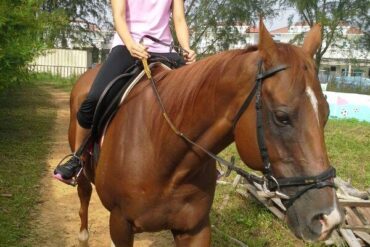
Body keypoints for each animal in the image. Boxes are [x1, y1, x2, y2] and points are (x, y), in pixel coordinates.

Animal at [68, 22, 342, 246]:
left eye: (327, 113)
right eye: (282, 117)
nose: (328, 219)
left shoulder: (195, 229)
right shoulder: (121, 225)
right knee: (83, 193)